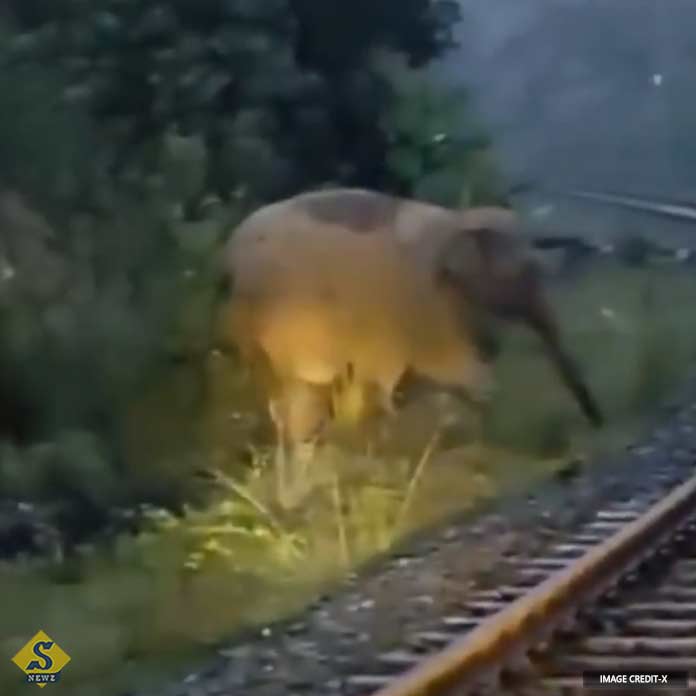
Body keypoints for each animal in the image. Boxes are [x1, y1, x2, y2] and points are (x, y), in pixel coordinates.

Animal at [219, 188, 603, 494]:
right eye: (520, 272)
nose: (598, 422)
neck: (456, 221)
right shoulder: (419, 308)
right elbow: (458, 376)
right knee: (300, 401)